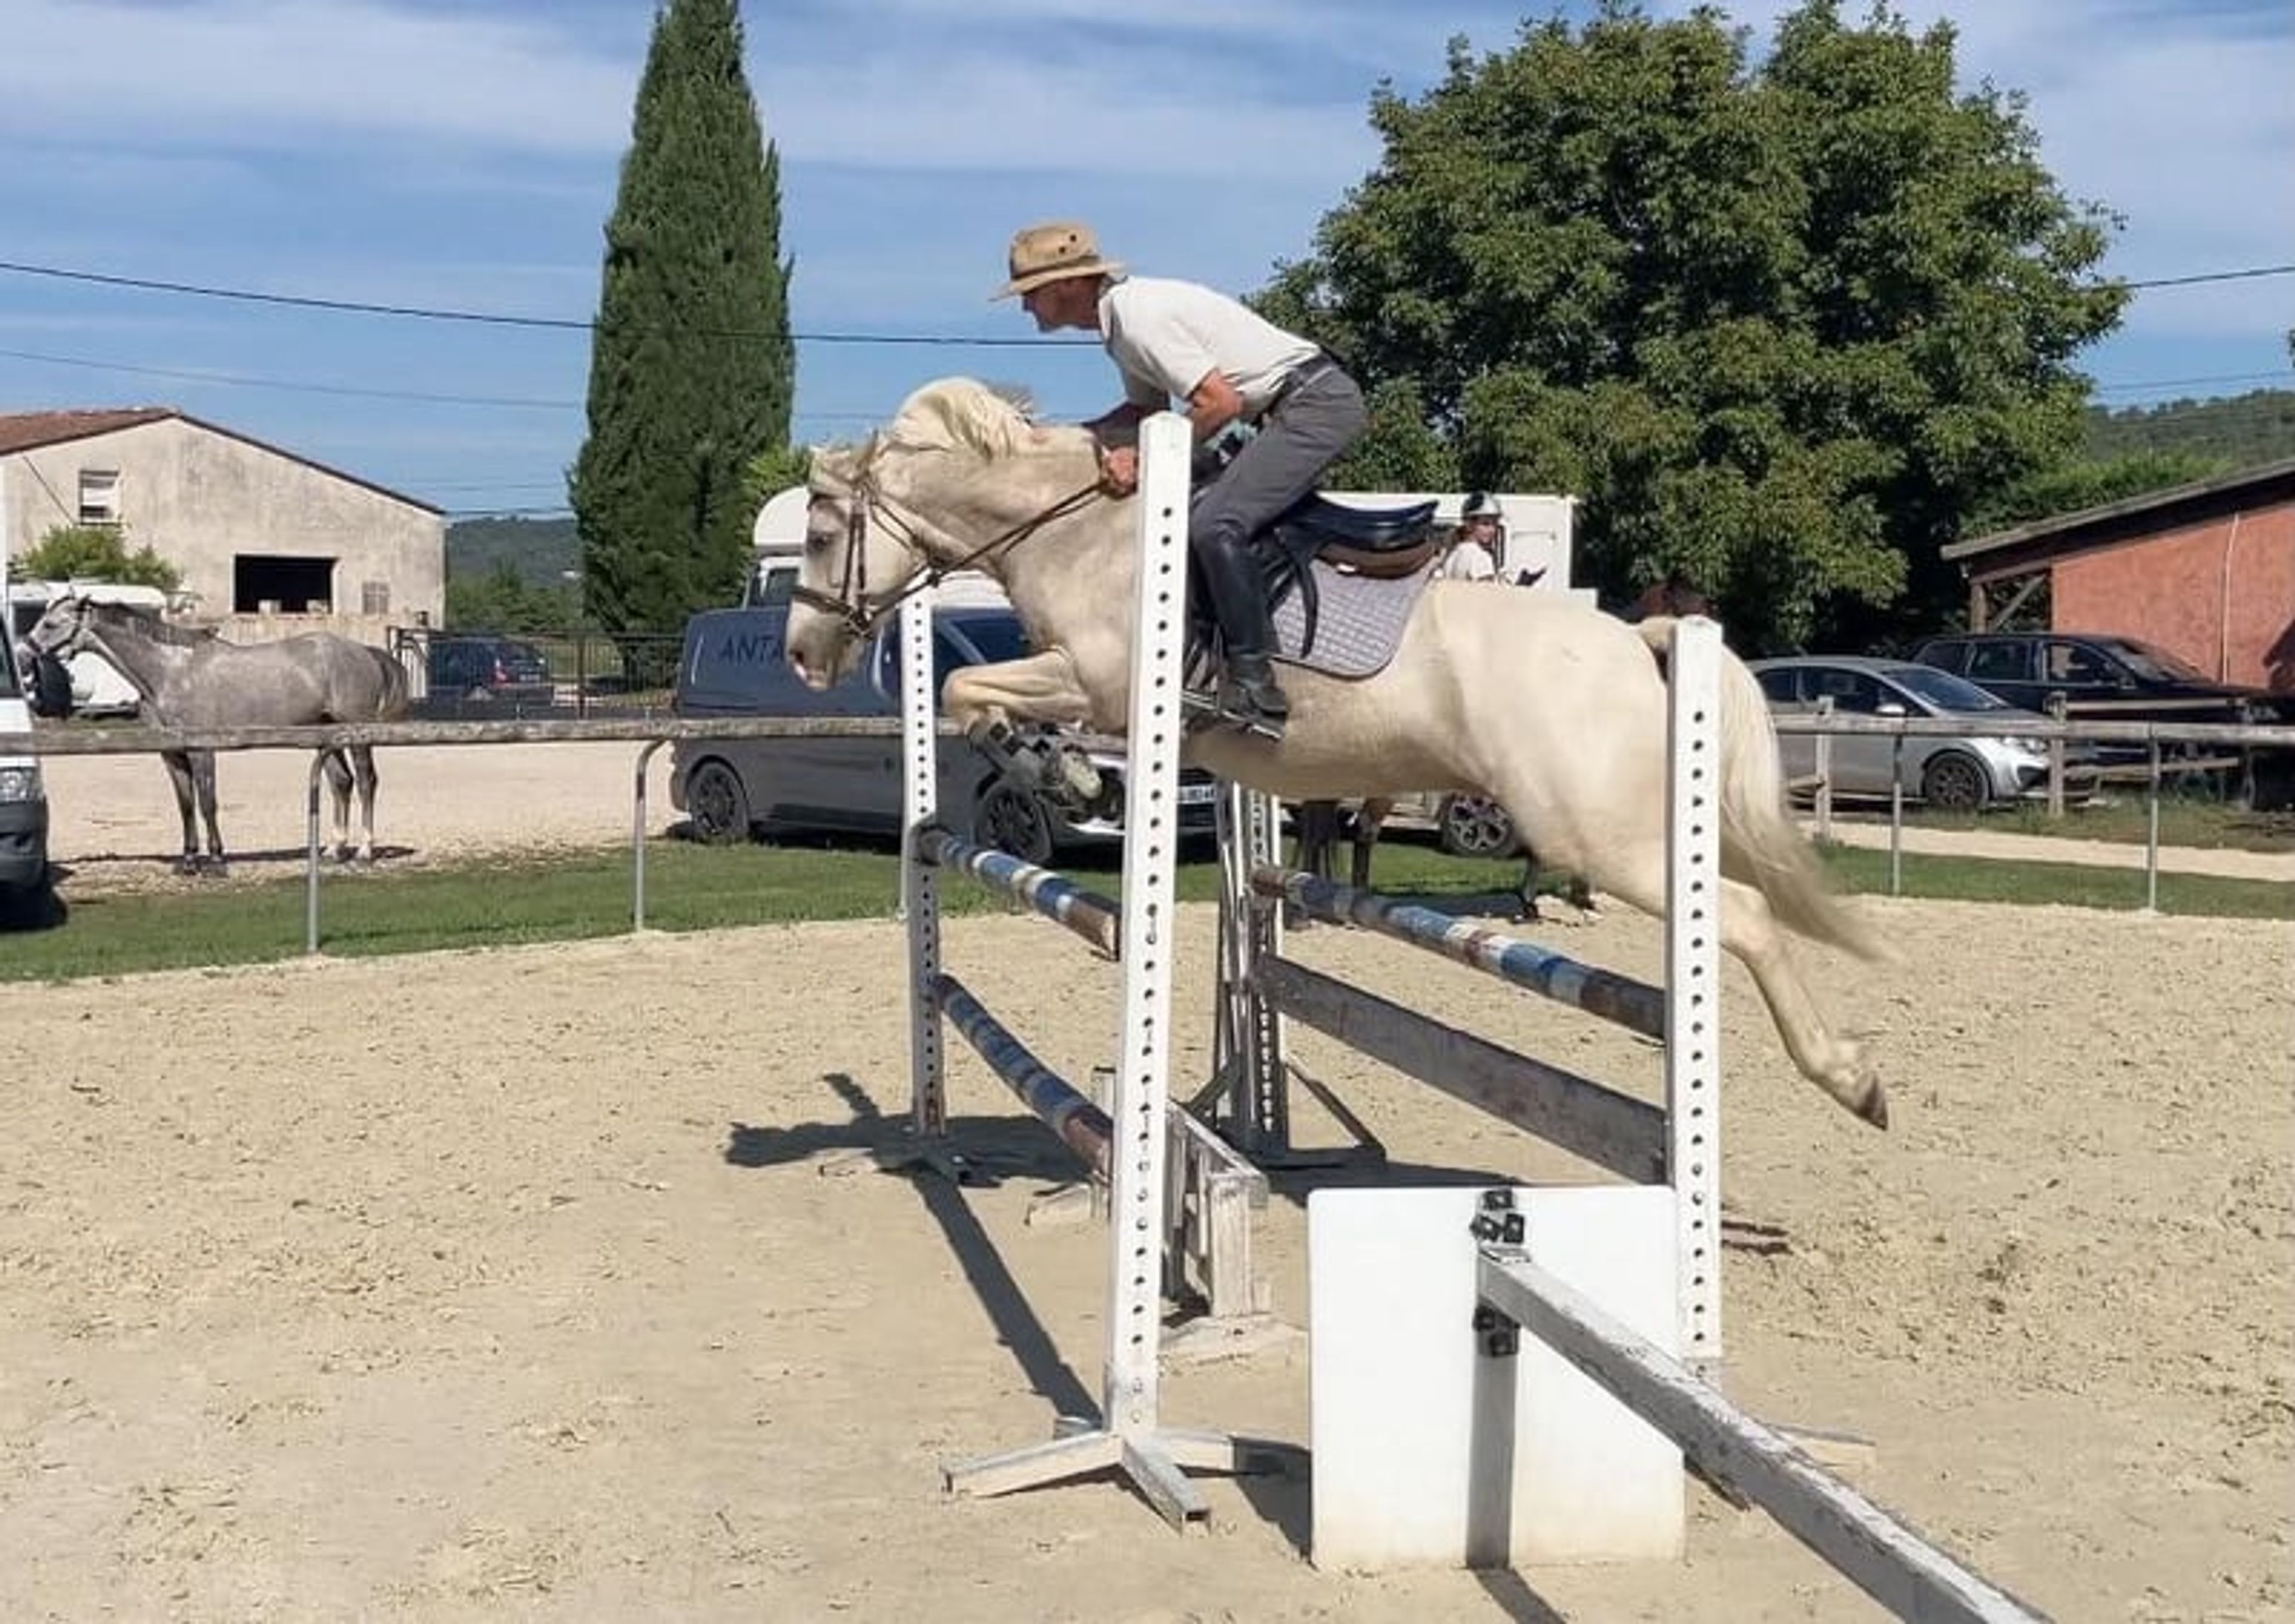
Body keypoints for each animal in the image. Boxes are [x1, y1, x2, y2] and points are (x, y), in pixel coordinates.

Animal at [28, 595, 409, 874]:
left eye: (51, 623)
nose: (26, 651)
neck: (170, 673)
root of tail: (364, 652)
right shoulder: (172, 754)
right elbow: (185, 805)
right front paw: (188, 861)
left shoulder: (203, 749)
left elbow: (208, 802)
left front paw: (215, 859)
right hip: (325, 735)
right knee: (341, 782)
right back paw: (333, 849)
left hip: (357, 736)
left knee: (366, 782)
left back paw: (364, 851)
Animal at [785, 378, 1891, 1128]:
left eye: (823, 533)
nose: (801, 654)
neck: (1077, 534)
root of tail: (1639, 637)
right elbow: (968, 695)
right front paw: (1063, 770)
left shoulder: (1101, 684)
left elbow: (969, 691)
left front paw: (1062, 770)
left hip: (1601, 831)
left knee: (1740, 915)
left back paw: (1849, 1077)